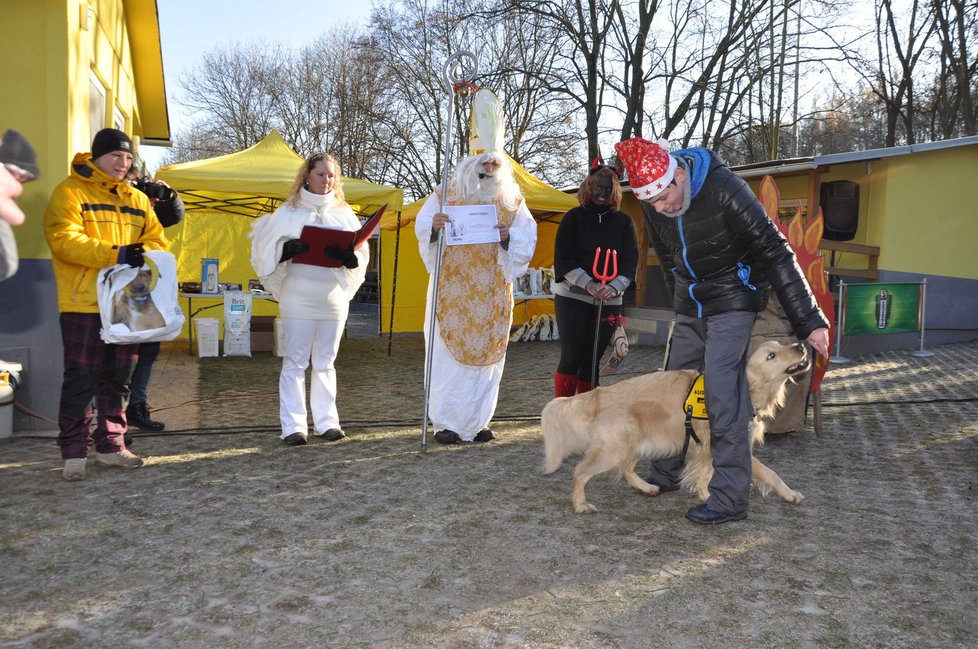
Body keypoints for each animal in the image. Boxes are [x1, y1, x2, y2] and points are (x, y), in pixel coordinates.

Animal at [540, 342, 808, 512]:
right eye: (771, 356)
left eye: (781, 344)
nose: (801, 346)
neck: (744, 391)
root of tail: (600, 392)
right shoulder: (721, 446)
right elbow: (761, 473)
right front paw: (707, 496)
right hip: (614, 449)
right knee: (579, 472)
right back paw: (580, 505)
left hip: (640, 443)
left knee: (626, 470)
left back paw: (647, 487)